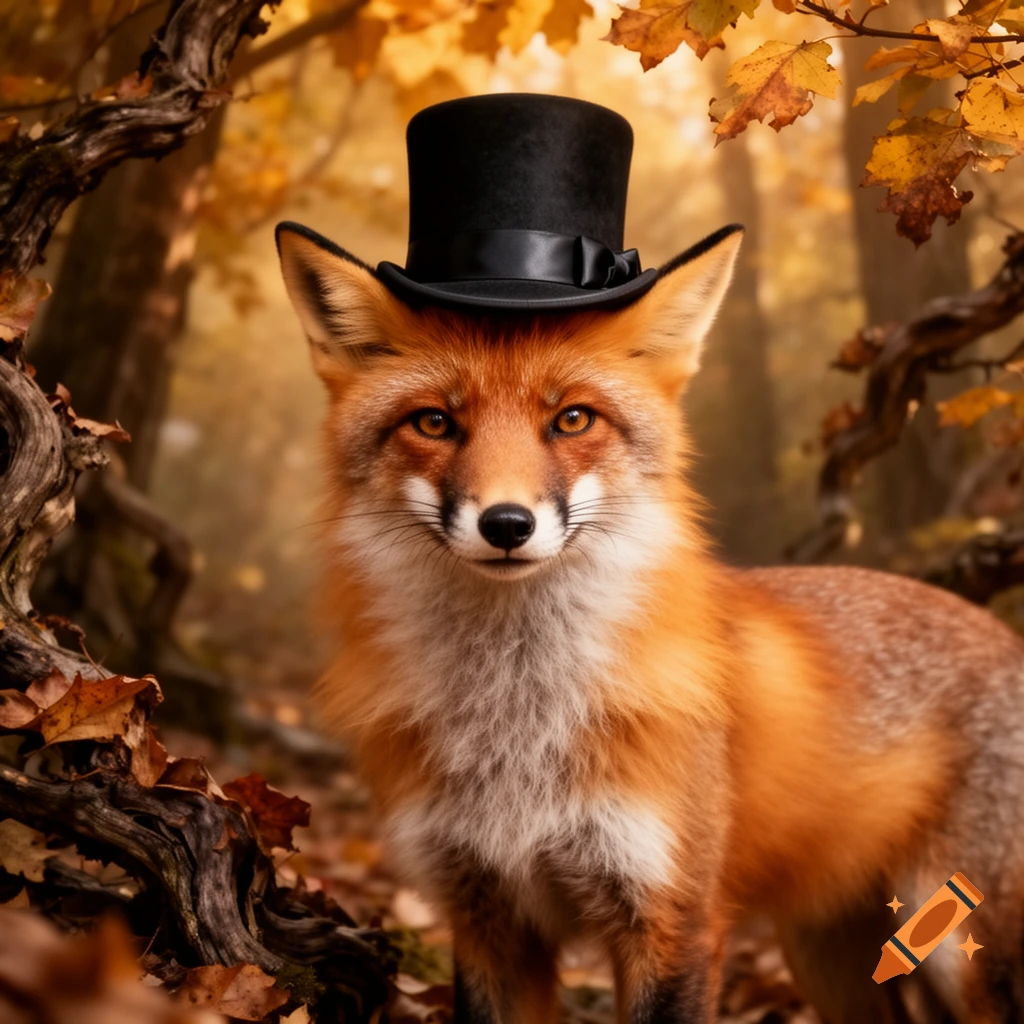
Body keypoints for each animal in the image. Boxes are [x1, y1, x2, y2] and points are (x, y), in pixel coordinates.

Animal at [277, 219, 1024, 1024]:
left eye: (572, 418)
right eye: (435, 422)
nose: (506, 524)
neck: (516, 732)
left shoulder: (672, 917)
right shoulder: (485, 915)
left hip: (955, 950)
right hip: (826, 959)